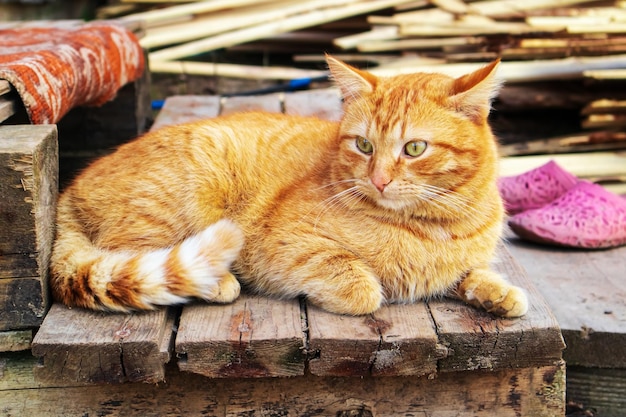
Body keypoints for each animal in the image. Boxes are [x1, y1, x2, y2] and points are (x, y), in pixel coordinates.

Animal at [50, 54, 528, 316]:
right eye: (364, 145)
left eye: (413, 148)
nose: (378, 180)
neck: (437, 224)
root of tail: (69, 188)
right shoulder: (289, 246)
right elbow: (363, 287)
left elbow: (472, 273)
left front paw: (497, 293)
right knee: (127, 254)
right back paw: (215, 281)